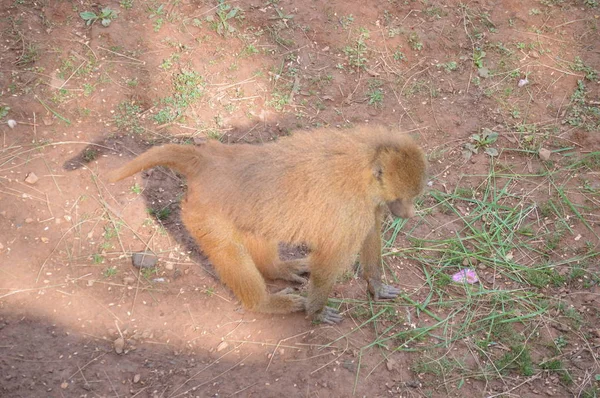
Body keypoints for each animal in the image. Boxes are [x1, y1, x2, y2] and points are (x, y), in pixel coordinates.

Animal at [108, 126, 426, 324]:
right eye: (405, 198)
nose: (408, 214)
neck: (366, 160)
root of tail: (210, 160)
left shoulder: (368, 204)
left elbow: (371, 233)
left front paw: (376, 284)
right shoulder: (352, 208)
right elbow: (330, 259)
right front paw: (317, 312)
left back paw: (277, 270)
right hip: (203, 213)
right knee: (229, 251)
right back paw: (264, 304)